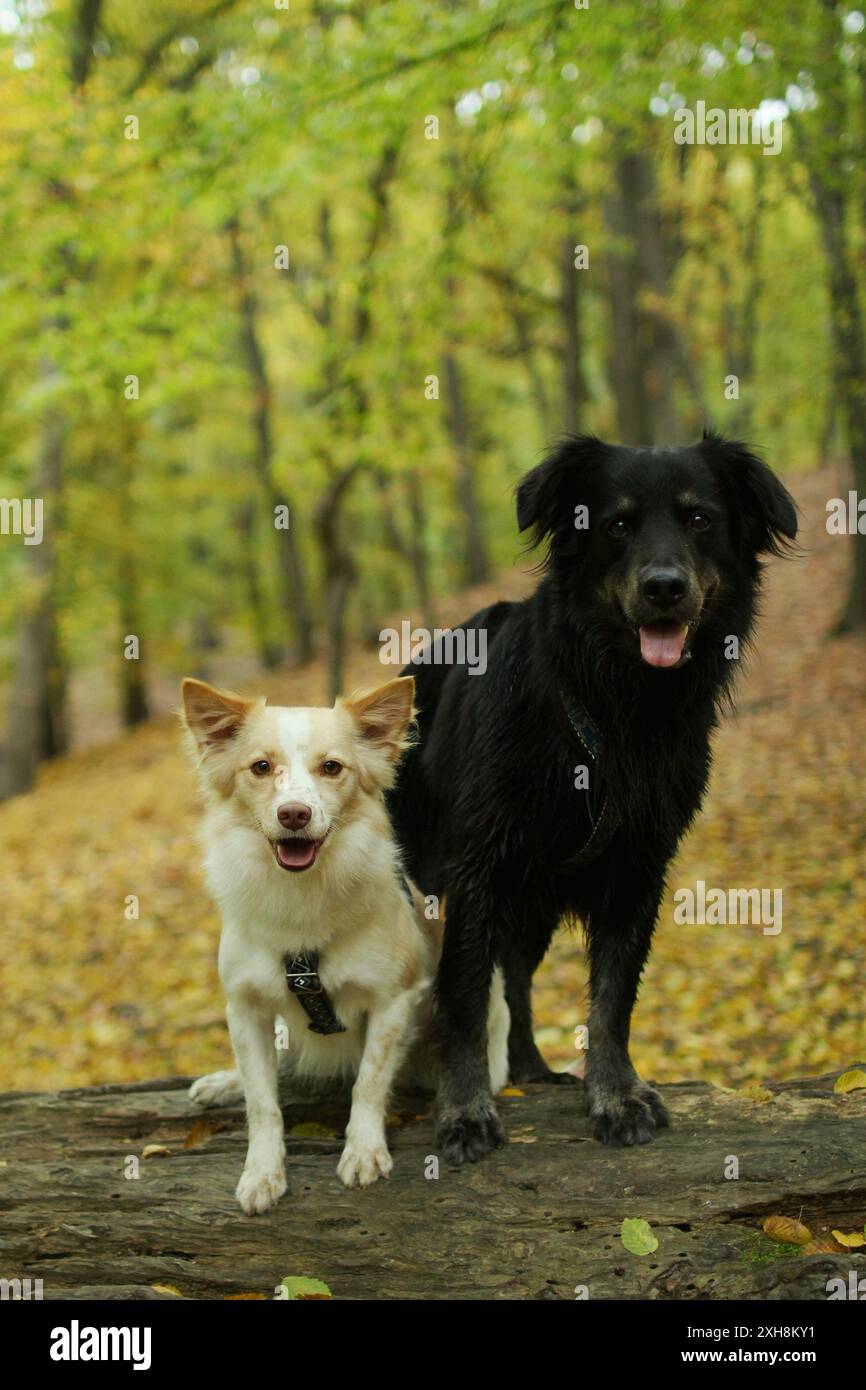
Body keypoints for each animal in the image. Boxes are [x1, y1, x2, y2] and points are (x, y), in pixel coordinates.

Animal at [389, 430, 795, 1162]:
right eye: (617, 525)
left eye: (699, 519)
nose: (664, 588)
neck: (618, 711)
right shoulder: (477, 869)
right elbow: (464, 995)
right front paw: (464, 1108)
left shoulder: (638, 870)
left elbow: (613, 999)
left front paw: (615, 1093)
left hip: (533, 909)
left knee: (517, 979)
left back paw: (528, 1070)